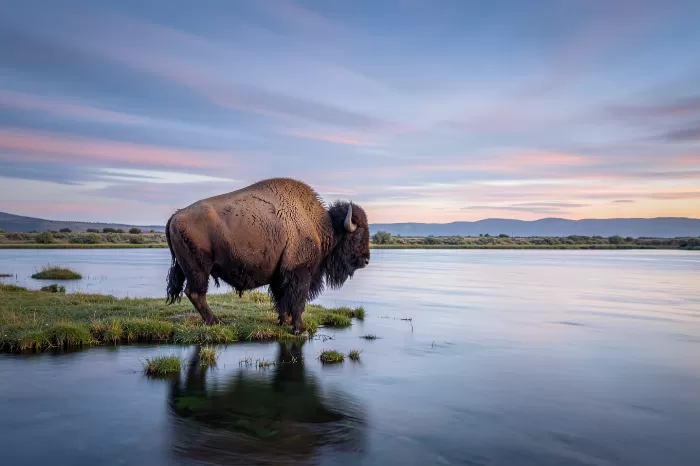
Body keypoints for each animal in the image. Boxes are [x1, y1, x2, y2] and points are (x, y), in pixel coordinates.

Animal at [164, 177, 370, 334]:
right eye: (358, 233)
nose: (366, 259)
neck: (320, 226)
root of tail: (175, 216)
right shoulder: (300, 273)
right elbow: (298, 301)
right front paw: (300, 329)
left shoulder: (280, 276)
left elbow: (283, 300)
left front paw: (283, 322)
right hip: (199, 268)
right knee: (196, 293)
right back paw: (215, 322)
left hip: (187, 267)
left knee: (193, 293)